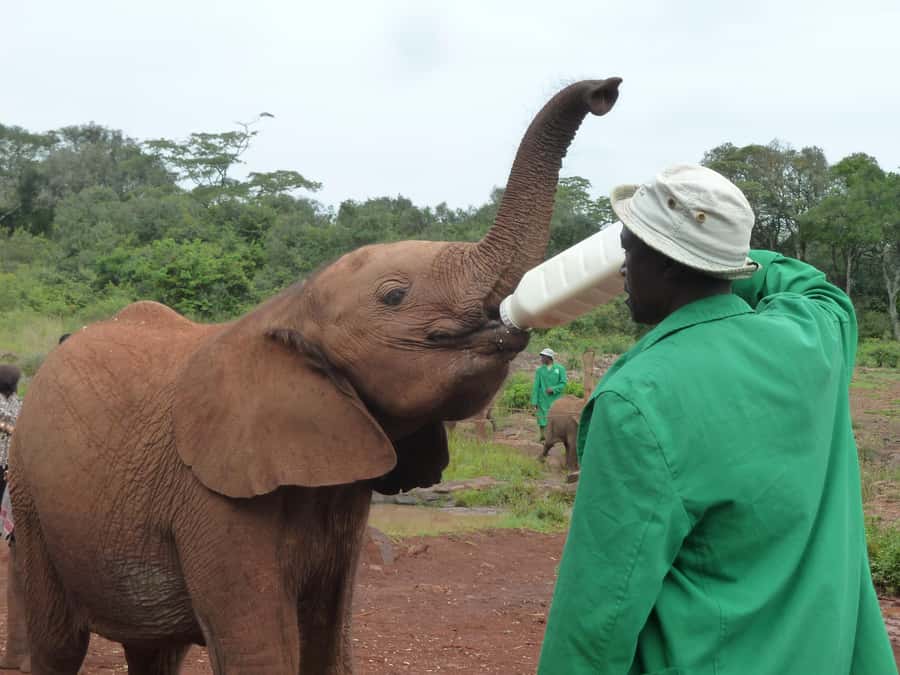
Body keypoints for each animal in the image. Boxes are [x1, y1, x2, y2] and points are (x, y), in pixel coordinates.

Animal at [8, 78, 621, 675]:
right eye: (394, 296)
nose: (606, 91)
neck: (289, 308)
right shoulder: (213, 494)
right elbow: (259, 648)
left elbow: (329, 637)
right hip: (30, 499)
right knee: (59, 642)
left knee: (155, 651)